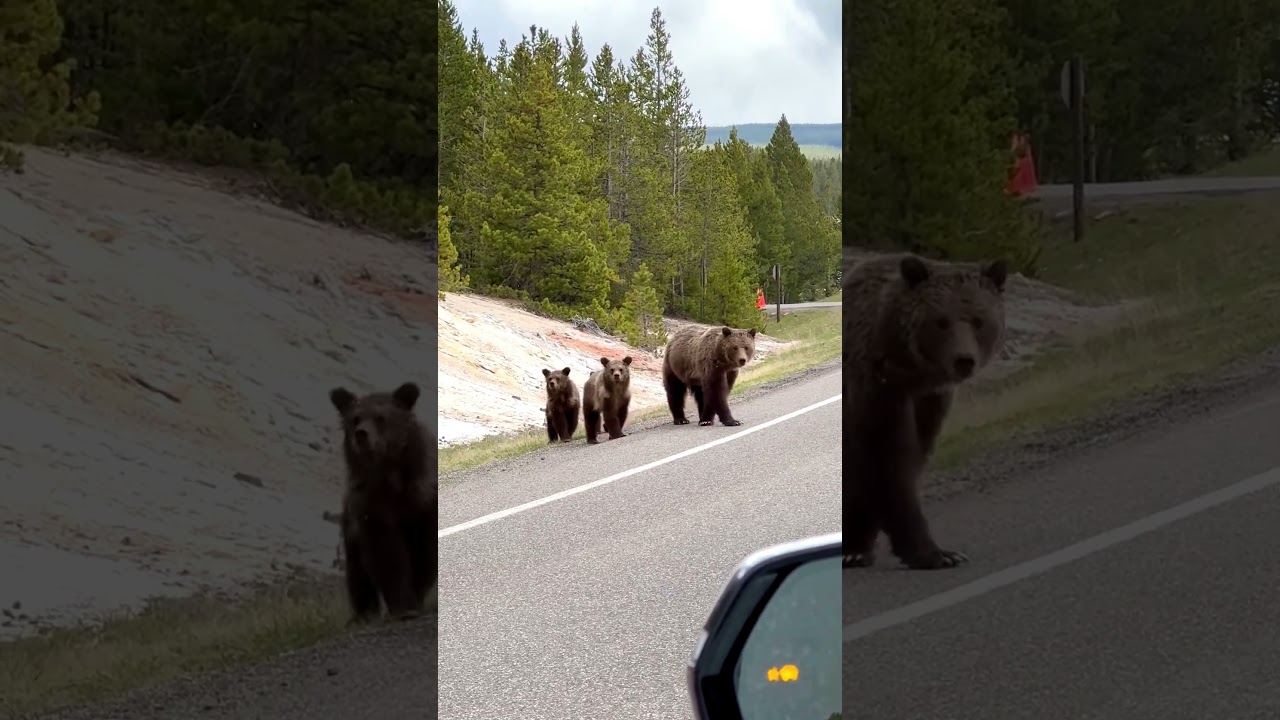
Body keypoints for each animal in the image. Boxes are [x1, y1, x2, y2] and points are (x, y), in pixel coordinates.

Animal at [328, 381, 437, 621]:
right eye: (355, 418)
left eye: (380, 417)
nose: (361, 434)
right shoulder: (372, 505)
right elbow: (386, 555)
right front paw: (404, 605)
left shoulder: (424, 502)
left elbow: (424, 550)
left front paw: (415, 596)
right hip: (350, 526)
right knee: (357, 572)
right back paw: (363, 613)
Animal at [843, 253, 1007, 570]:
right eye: (941, 321)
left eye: (979, 320)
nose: (964, 360)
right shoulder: (877, 393)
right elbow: (890, 465)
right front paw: (936, 553)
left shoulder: (929, 402)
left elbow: (907, 460)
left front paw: (858, 547)